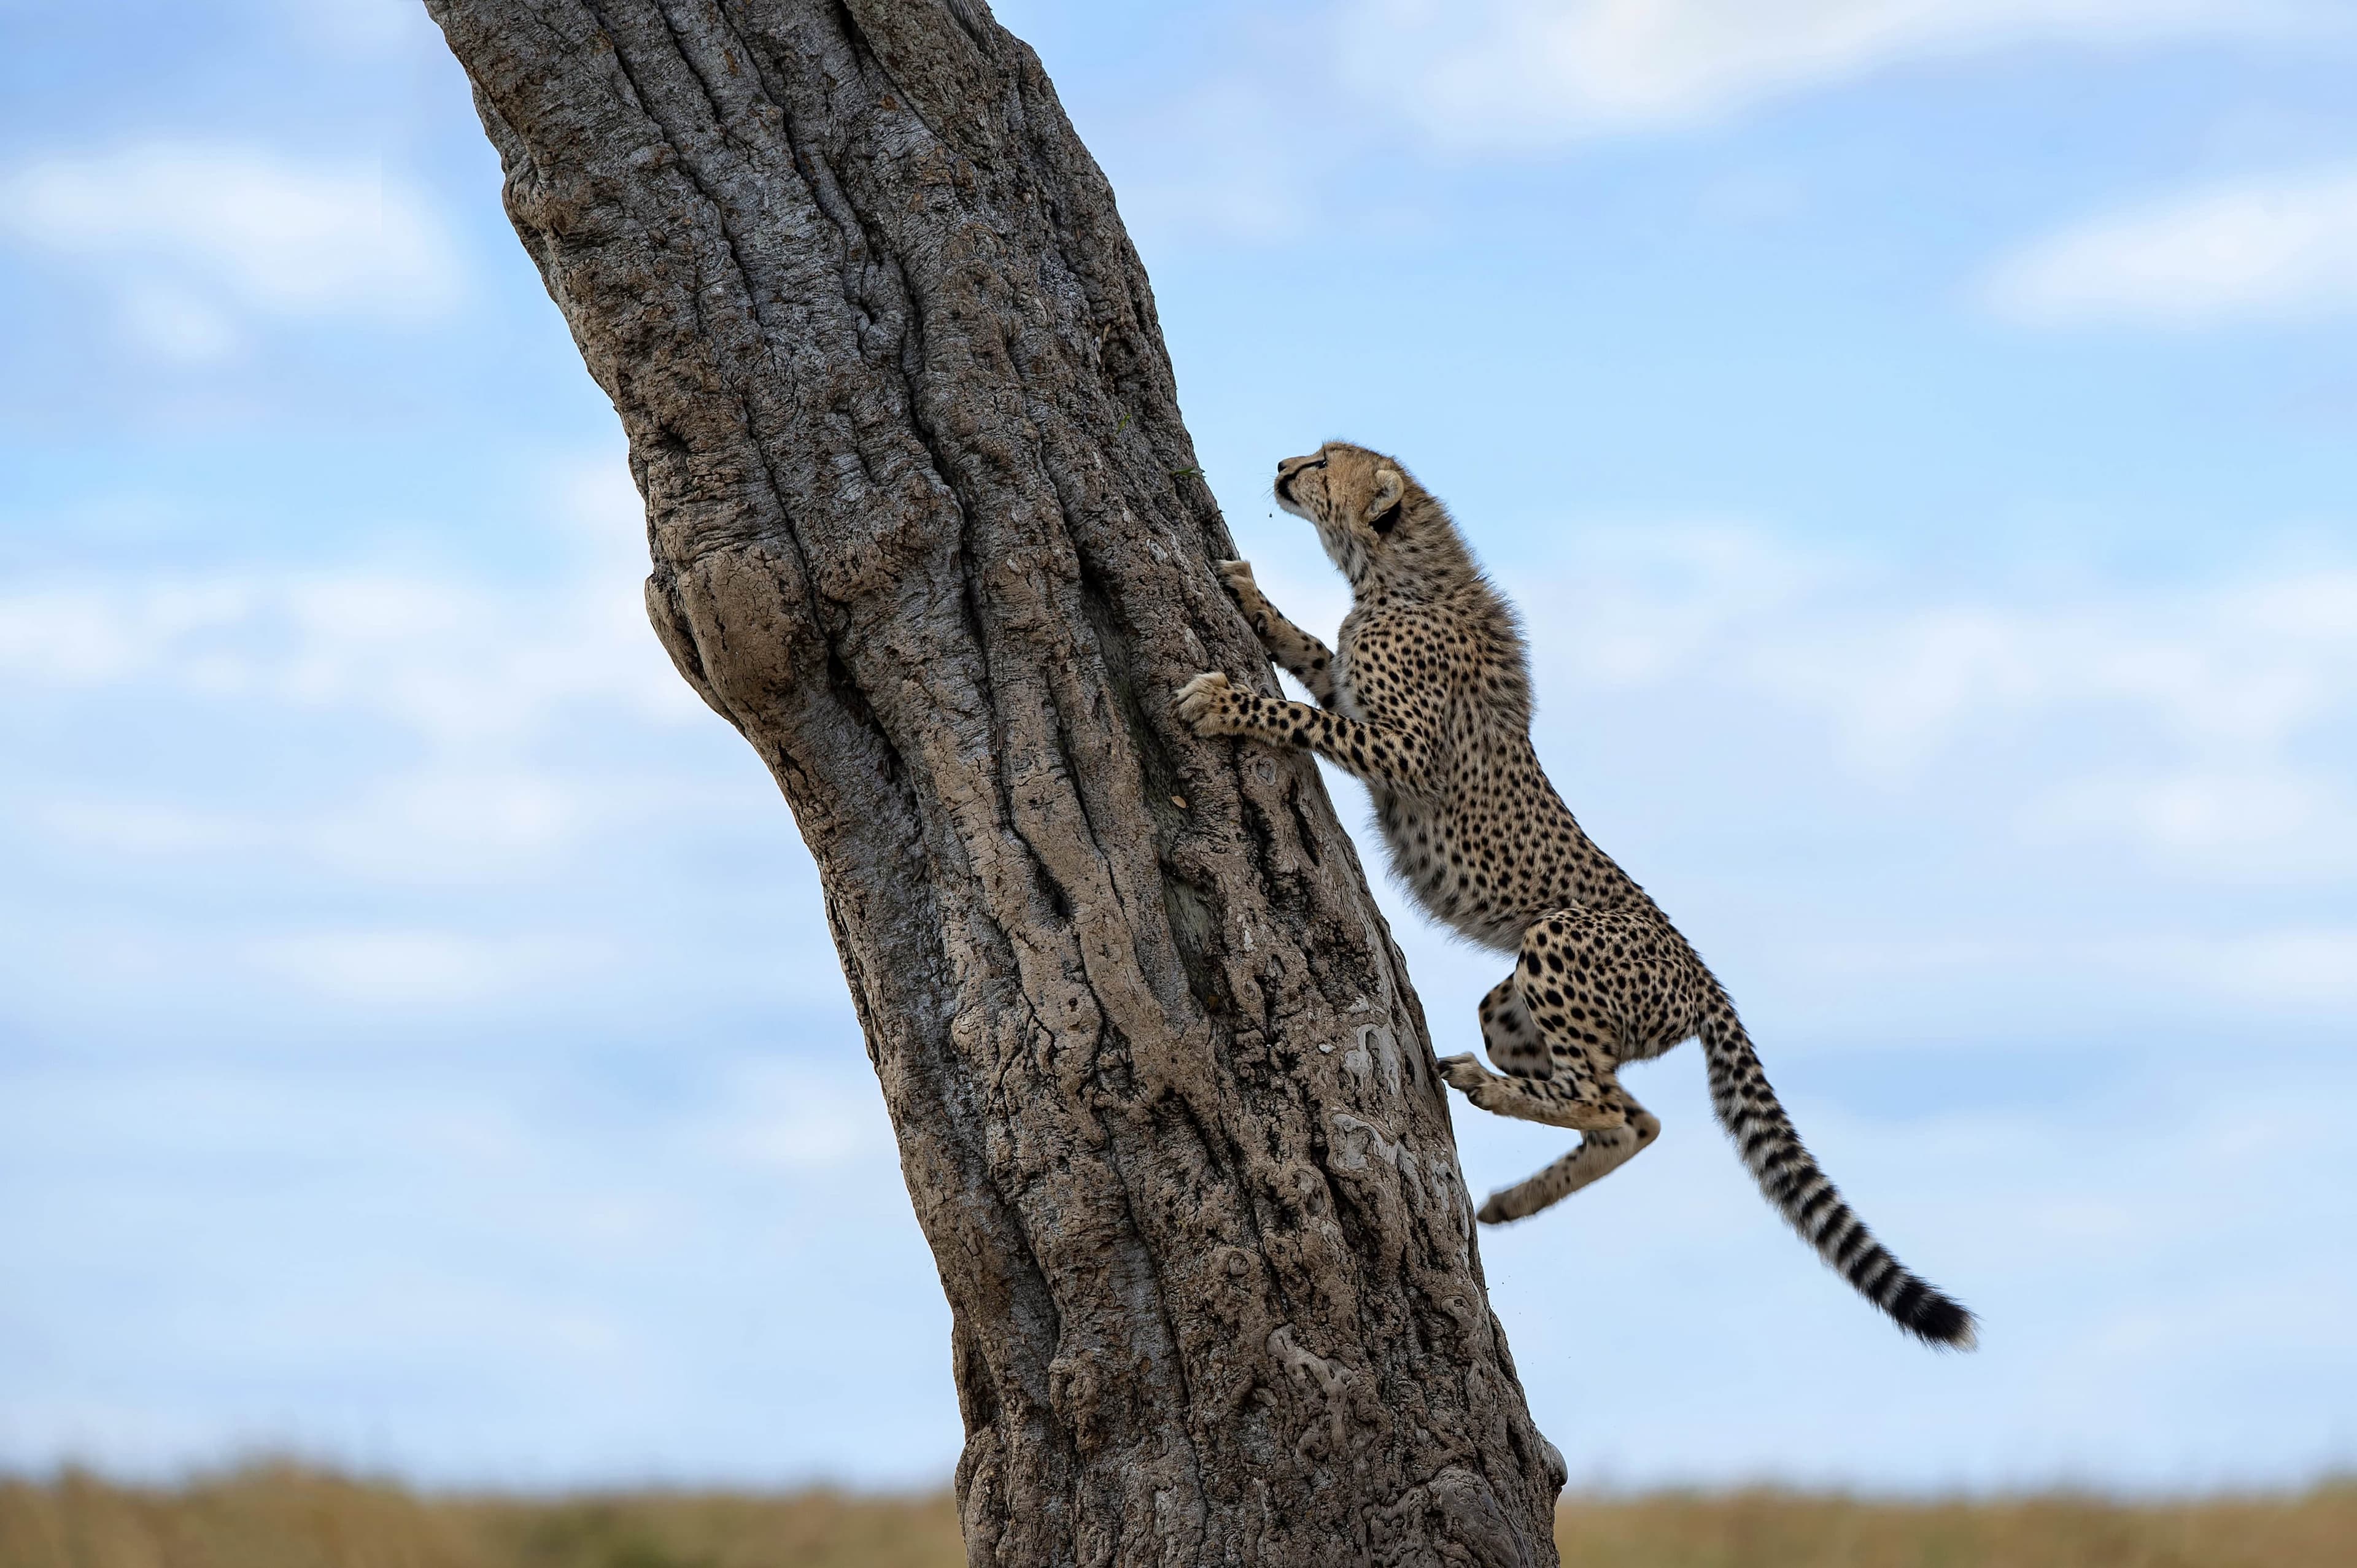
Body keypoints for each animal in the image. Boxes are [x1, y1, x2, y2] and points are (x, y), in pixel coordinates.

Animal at [1173, 440, 1976, 1348]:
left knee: (1602, 1100)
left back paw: (1491, 1095)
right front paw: (1249, 594)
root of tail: (1707, 978)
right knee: (1633, 1117)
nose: (1282, 465)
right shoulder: (1352, 685)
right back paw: (1518, 1196)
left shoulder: (1401, 748)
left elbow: (1303, 714)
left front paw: (1226, 700)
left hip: (1558, 939)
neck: (1393, 575)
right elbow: (1309, 647)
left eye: (1323, 463)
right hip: (1510, 1005)